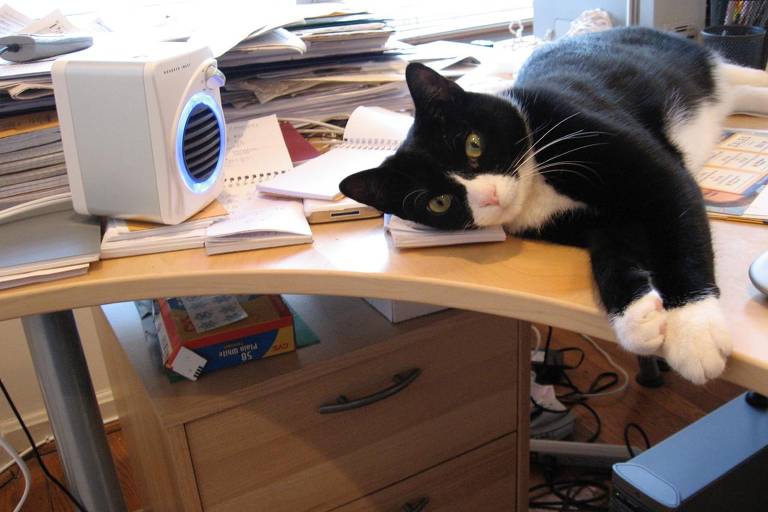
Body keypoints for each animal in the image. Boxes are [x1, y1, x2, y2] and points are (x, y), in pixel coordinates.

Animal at [342, 26, 768, 382]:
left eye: (473, 144)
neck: (536, 184)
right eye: (439, 202)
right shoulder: (590, 221)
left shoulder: (635, 159)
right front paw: (636, 318)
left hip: (696, 67)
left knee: (743, 77)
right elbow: (612, 248)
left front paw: (693, 331)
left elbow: (677, 226)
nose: (489, 196)